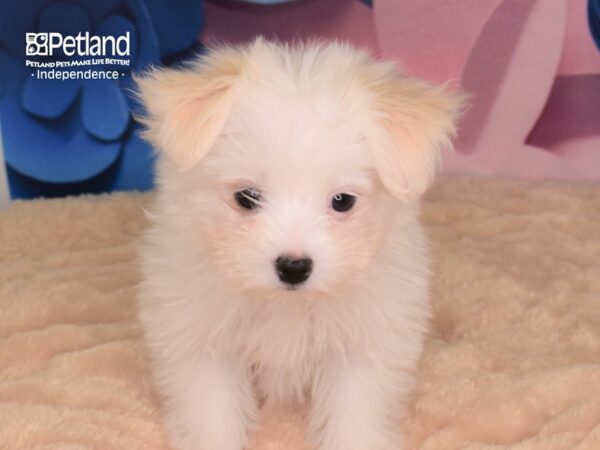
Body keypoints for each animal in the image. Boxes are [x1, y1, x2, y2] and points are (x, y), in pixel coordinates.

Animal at [137, 38, 464, 450]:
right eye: (246, 197)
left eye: (342, 201)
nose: (293, 267)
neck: (286, 305)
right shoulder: (201, 339)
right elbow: (212, 413)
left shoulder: (364, 344)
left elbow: (354, 414)